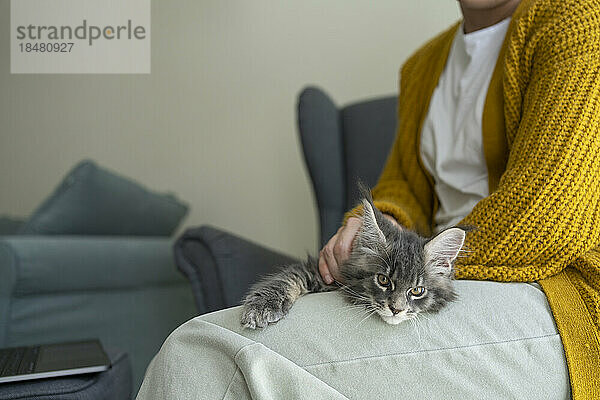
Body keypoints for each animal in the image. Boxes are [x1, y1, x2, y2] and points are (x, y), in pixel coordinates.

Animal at [241, 195, 466, 330]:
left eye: (418, 290)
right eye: (383, 280)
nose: (396, 309)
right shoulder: (325, 270)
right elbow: (288, 278)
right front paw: (261, 307)